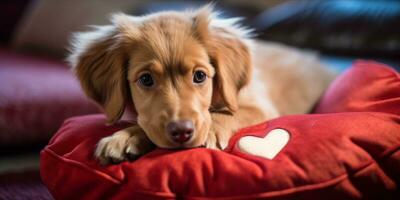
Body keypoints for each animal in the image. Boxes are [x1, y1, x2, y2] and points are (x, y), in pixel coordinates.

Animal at [68, 5, 334, 164]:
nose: (181, 132)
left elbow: (227, 113)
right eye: (145, 79)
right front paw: (126, 136)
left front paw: (212, 129)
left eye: (199, 76)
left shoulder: (260, 106)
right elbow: (146, 122)